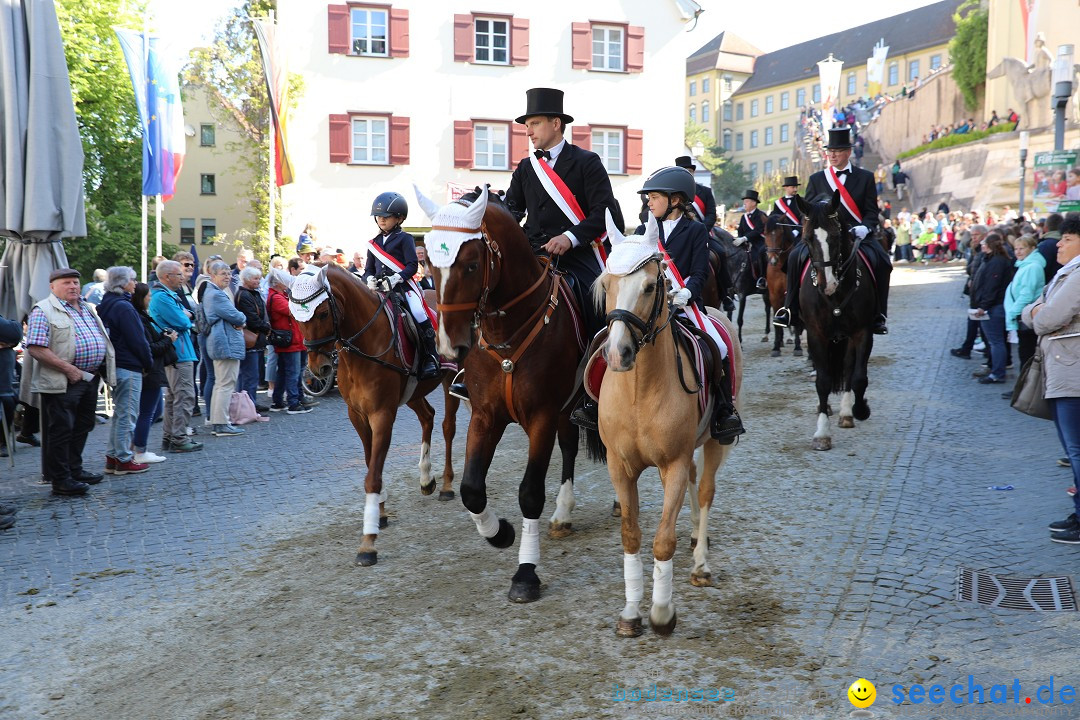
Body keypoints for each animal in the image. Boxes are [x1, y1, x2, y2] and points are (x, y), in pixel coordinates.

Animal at [287, 262, 460, 565]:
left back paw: (447, 486)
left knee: (448, 426)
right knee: (428, 416)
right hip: (413, 392)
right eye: (295, 318)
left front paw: (368, 542)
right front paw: (380, 512)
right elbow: (371, 464)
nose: (319, 368)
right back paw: (426, 478)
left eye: (322, 313)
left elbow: (373, 475)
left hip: (450, 380)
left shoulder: (382, 415)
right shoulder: (357, 415)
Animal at [412, 184, 587, 604]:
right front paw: (500, 533)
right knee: (570, 445)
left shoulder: (542, 416)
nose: (449, 348)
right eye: (428, 265)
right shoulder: (485, 414)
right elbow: (471, 490)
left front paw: (526, 573)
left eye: (472, 265)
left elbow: (530, 493)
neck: (506, 333)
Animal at [583, 212, 743, 634]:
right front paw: (630, 612)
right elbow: (631, 536)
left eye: (651, 285)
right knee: (693, 483)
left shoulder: (672, 463)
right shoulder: (621, 467)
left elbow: (662, 540)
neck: (640, 390)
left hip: (715, 442)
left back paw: (701, 563)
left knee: (704, 491)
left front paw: (661, 612)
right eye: (606, 284)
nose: (617, 353)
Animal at [760, 216, 803, 358]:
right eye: (765, 232)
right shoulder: (774, 295)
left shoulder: (793, 294)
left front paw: (798, 347)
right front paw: (776, 347)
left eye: (781, 233)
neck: (781, 267)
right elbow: (776, 323)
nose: (772, 260)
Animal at [794, 191, 876, 451]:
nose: (826, 284)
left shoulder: (862, 332)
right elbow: (823, 381)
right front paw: (822, 433)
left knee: (849, 369)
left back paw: (847, 413)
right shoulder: (816, 334)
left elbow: (858, 377)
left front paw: (860, 409)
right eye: (807, 238)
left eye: (836, 236)